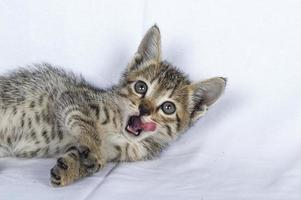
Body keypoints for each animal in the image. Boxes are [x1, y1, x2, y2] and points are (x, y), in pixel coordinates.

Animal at [0, 25, 225, 186]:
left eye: (168, 107)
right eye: (141, 87)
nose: (144, 109)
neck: (119, 131)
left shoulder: (113, 151)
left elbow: (82, 155)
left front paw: (69, 170)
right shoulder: (72, 97)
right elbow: (86, 124)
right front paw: (92, 146)